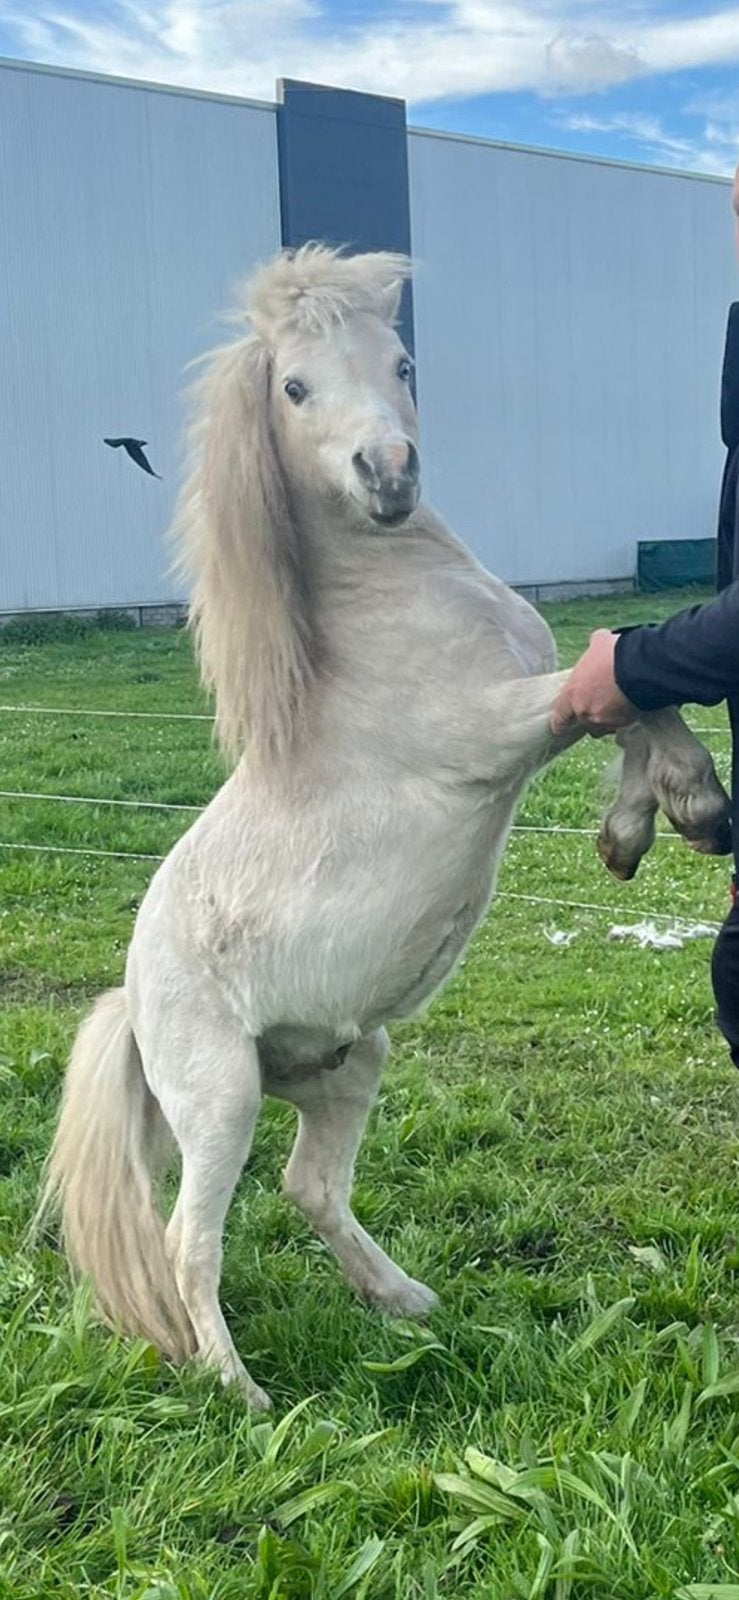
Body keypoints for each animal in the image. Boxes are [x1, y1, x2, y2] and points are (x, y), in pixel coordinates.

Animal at [40, 246, 731, 1410]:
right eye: (293, 386)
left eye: (402, 363)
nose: (388, 474)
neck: (382, 615)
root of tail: (132, 1005)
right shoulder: (495, 730)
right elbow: (618, 691)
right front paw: (682, 806)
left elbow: (627, 688)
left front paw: (639, 824)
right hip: (220, 1097)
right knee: (189, 1239)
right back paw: (243, 1393)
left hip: (350, 1060)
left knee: (308, 1187)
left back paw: (406, 1301)